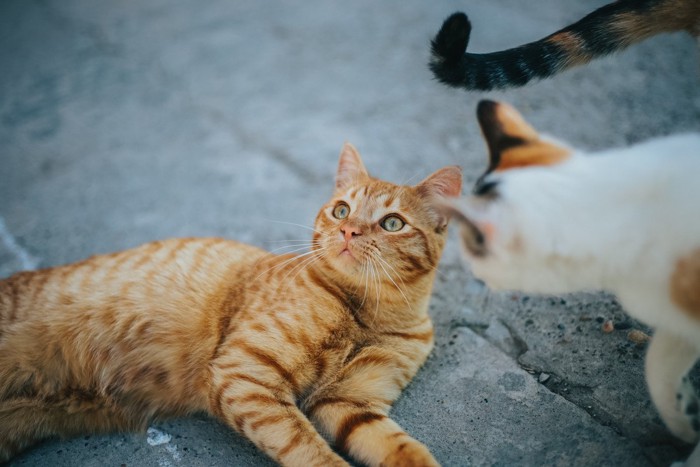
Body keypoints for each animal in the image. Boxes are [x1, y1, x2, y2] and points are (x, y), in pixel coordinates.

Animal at [0, 144, 462, 467]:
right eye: (341, 210)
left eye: (392, 223)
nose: (349, 231)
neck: (368, 314)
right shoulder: (245, 373)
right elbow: (310, 450)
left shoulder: (351, 404)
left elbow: (402, 448)